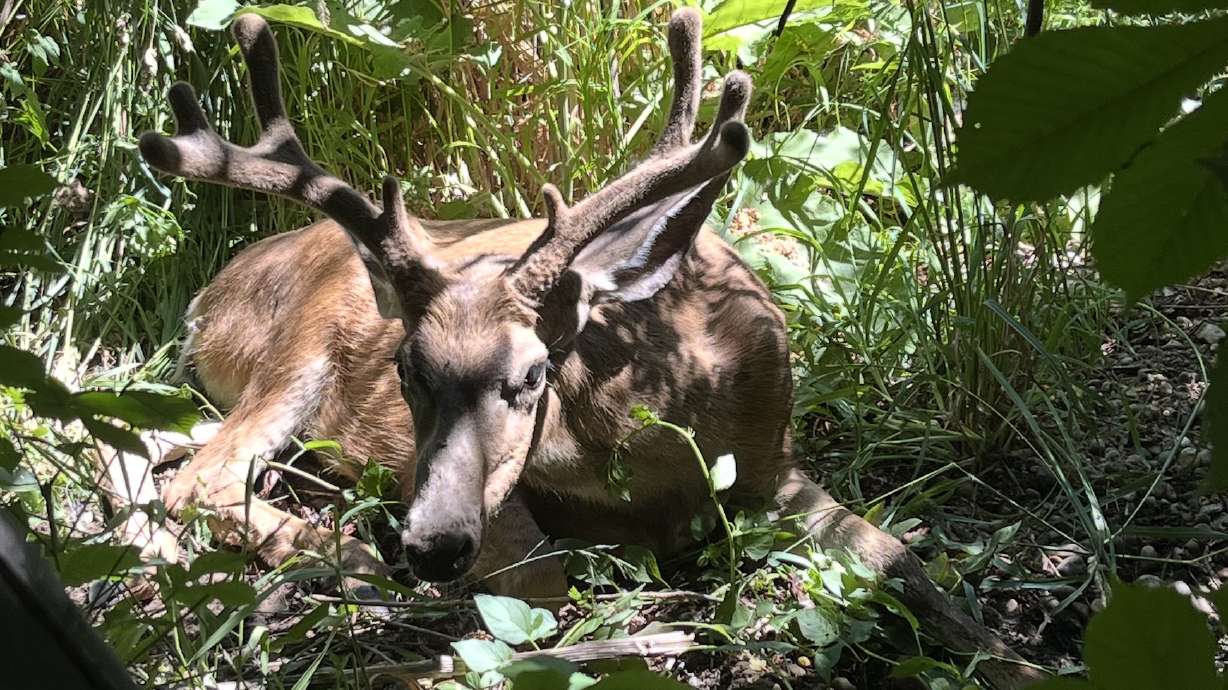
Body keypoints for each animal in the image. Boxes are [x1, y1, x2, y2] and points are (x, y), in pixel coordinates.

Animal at [114, 10, 1045, 689]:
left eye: (533, 373)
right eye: (406, 370)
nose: (431, 545)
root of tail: (213, 291)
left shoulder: (777, 462)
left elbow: (901, 558)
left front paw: (1020, 660)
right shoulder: (457, 482)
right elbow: (543, 584)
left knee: (181, 452)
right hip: (298, 353)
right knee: (203, 475)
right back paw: (350, 556)